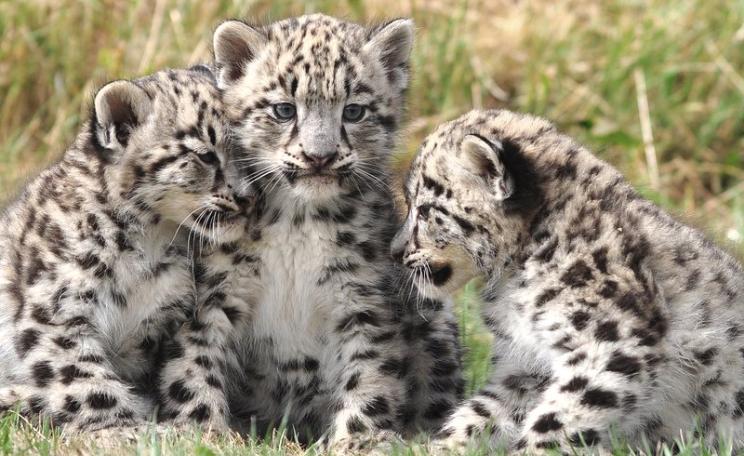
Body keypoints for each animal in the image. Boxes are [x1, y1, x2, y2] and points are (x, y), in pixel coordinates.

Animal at [0, 67, 254, 432]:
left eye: (247, 152)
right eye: (205, 154)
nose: (248, 197)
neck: (147, 243)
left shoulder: (164, 321)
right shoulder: (55, 314)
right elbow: (89, 383)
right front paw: (132, 430)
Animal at [158, 14, 465, 448]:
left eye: (354, 111)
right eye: (284, 109)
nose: (320, 156)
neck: (297, 220)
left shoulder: (363, 299)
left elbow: (370, 372)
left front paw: (358, 439)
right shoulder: (213, 292)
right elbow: (194, 363)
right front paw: (198, 430)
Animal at [392, 109, 744, 453]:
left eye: (425, 209)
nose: (395, 251)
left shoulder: (611, 343)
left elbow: (558, 419)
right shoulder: (528, 366)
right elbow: (483, 412)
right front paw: (441, 445)